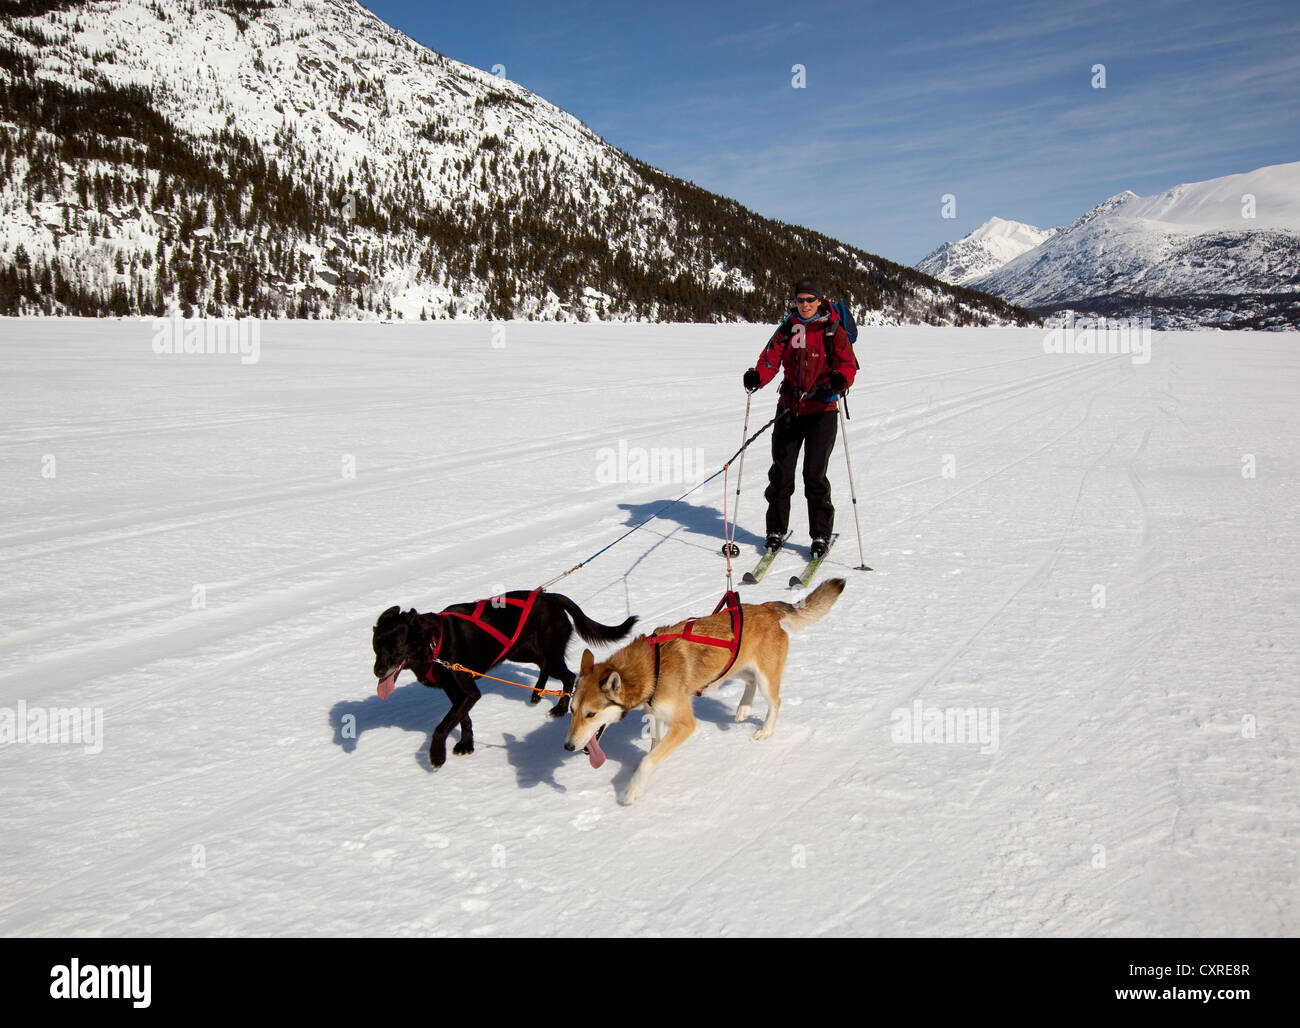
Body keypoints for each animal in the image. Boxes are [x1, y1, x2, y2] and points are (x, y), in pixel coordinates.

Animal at [371, 590, 634, 769]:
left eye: (395, 647)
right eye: (376, 647)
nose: (378, 671)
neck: (433, 643)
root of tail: (550, 597)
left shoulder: (468, 691)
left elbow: (442, 725)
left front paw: (437, 755)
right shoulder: (456, 691)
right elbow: (462, 719)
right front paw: (466, 745)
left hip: (545, 653)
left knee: (569, 676)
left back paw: (559, 708)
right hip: (522, 651)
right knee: (547, 669)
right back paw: (537, 693)